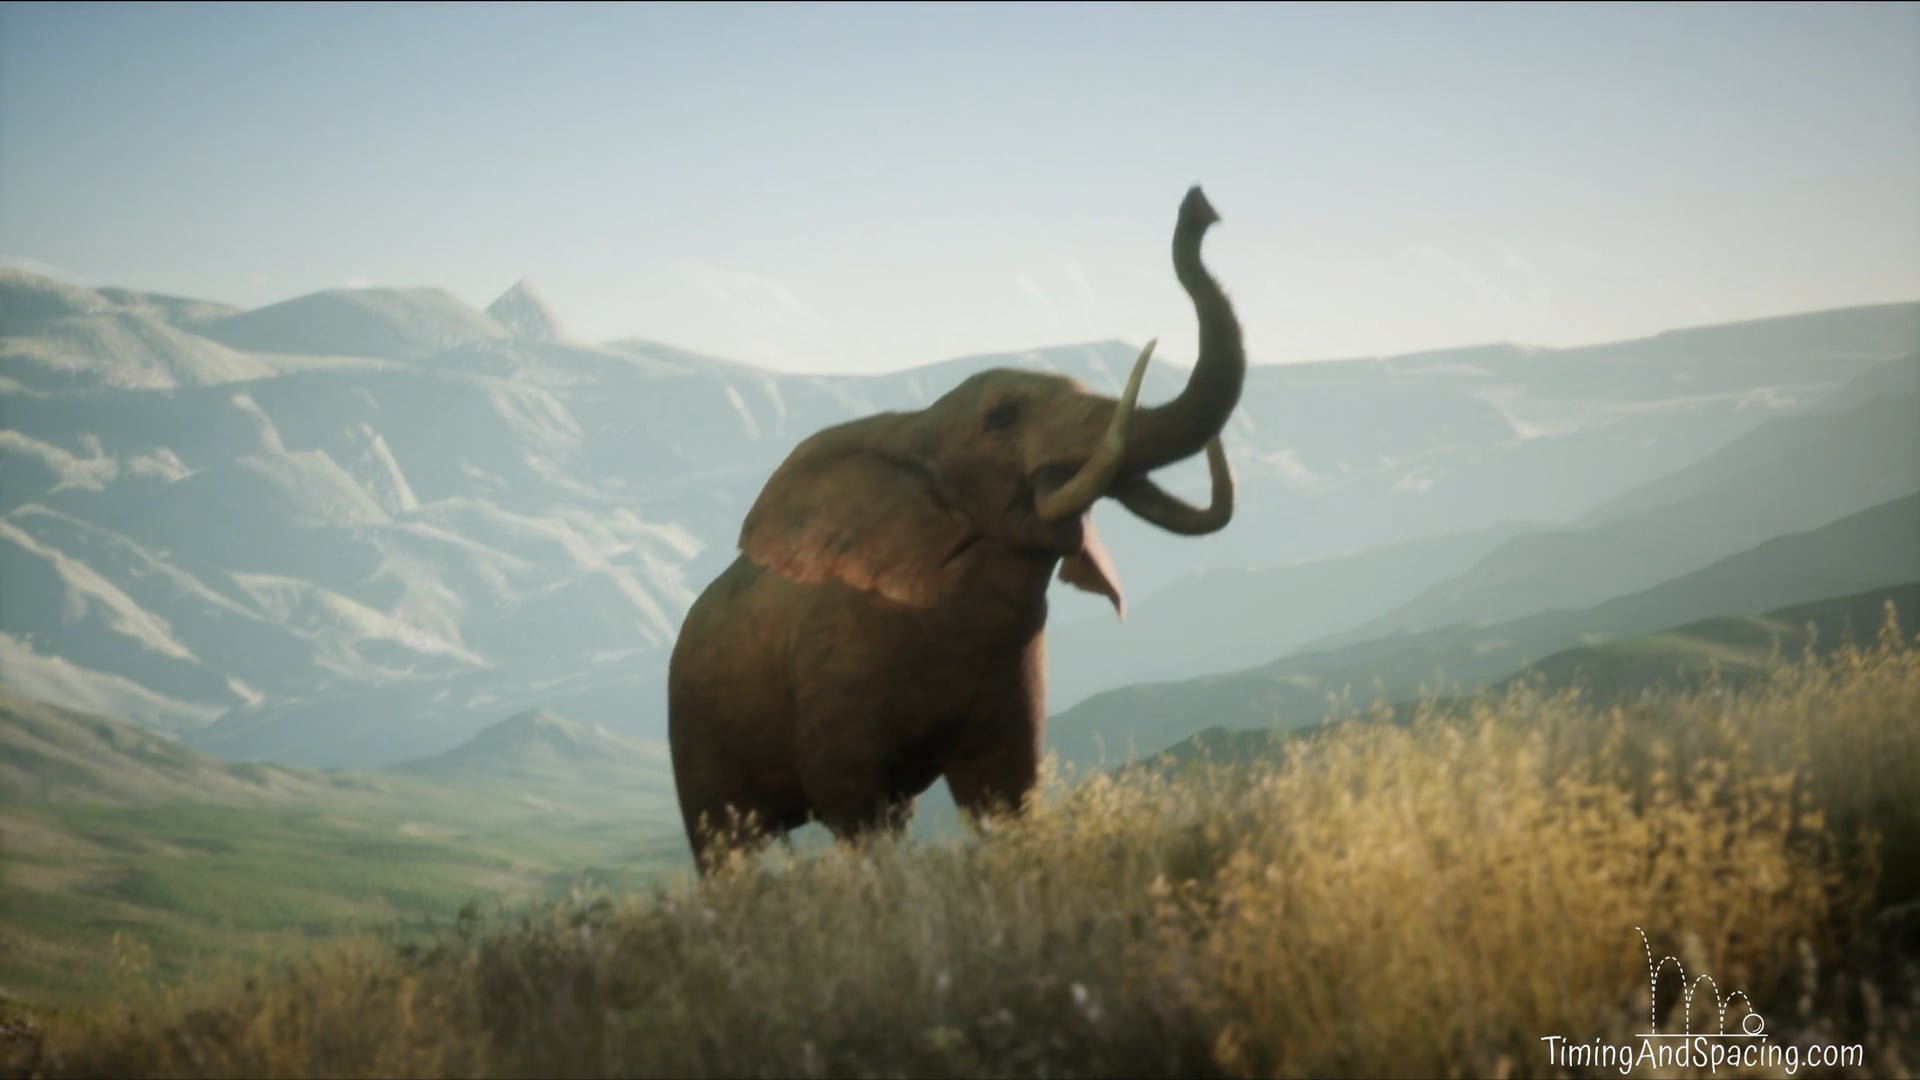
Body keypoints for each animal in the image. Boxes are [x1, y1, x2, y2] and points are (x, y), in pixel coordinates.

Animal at [666, 185, 1245, 871]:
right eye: (1003, 417)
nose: (1201, 206)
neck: (919, 424)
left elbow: (1006, 794)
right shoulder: (831, 681)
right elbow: (851, 808)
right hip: (692, 732)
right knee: (722, 848)